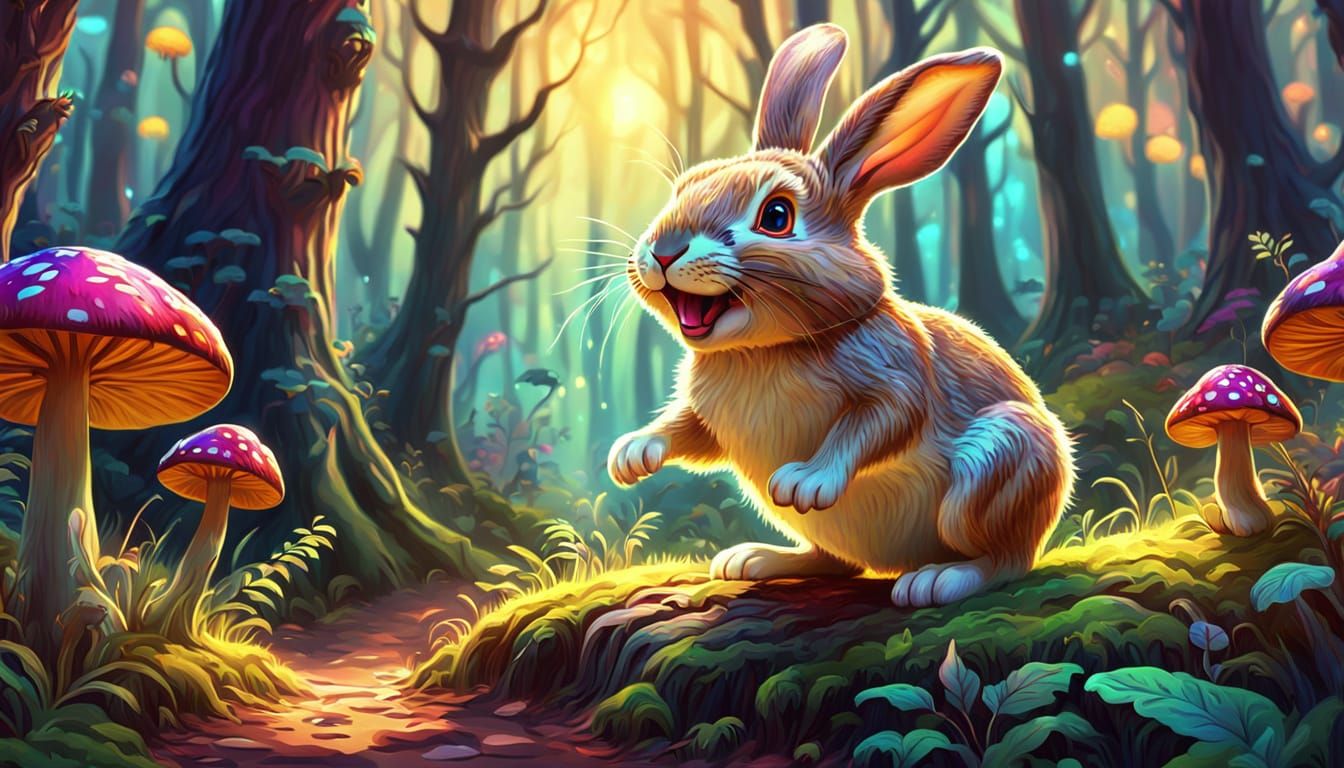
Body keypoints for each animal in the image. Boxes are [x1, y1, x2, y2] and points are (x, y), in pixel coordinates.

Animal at [607, 23, 1074, 607]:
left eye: (776, 216)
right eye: (684, 187)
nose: (663, 251)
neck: (765, 349)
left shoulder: (896, 381)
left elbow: (873, 426)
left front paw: (806, 481)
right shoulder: (705, 417)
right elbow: (683, 430)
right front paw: (631, 455)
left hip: (999, 460)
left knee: (1005, 560)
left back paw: (937, 580)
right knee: (836, 562)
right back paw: (754, 559)